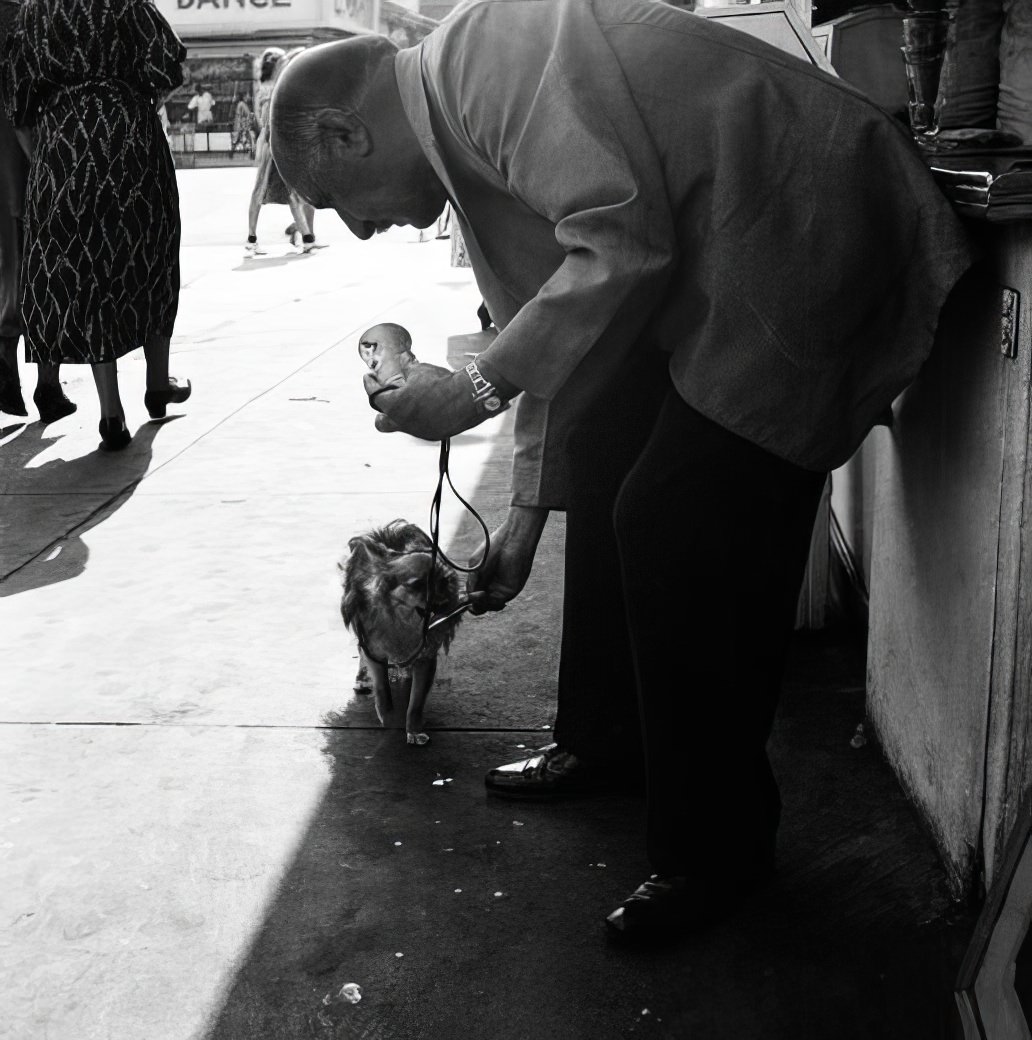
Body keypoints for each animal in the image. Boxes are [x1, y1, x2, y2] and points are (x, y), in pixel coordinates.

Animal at [339, 524, 463, 744]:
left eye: (445, 580)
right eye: (416, 585)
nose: (444, 599)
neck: (404, 620)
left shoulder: (426, 657)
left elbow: (416, 702)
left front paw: (413, 729)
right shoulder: (375, 652)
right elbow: (382, 690)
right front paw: (389, 719)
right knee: (361, 652)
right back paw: (362, 677)